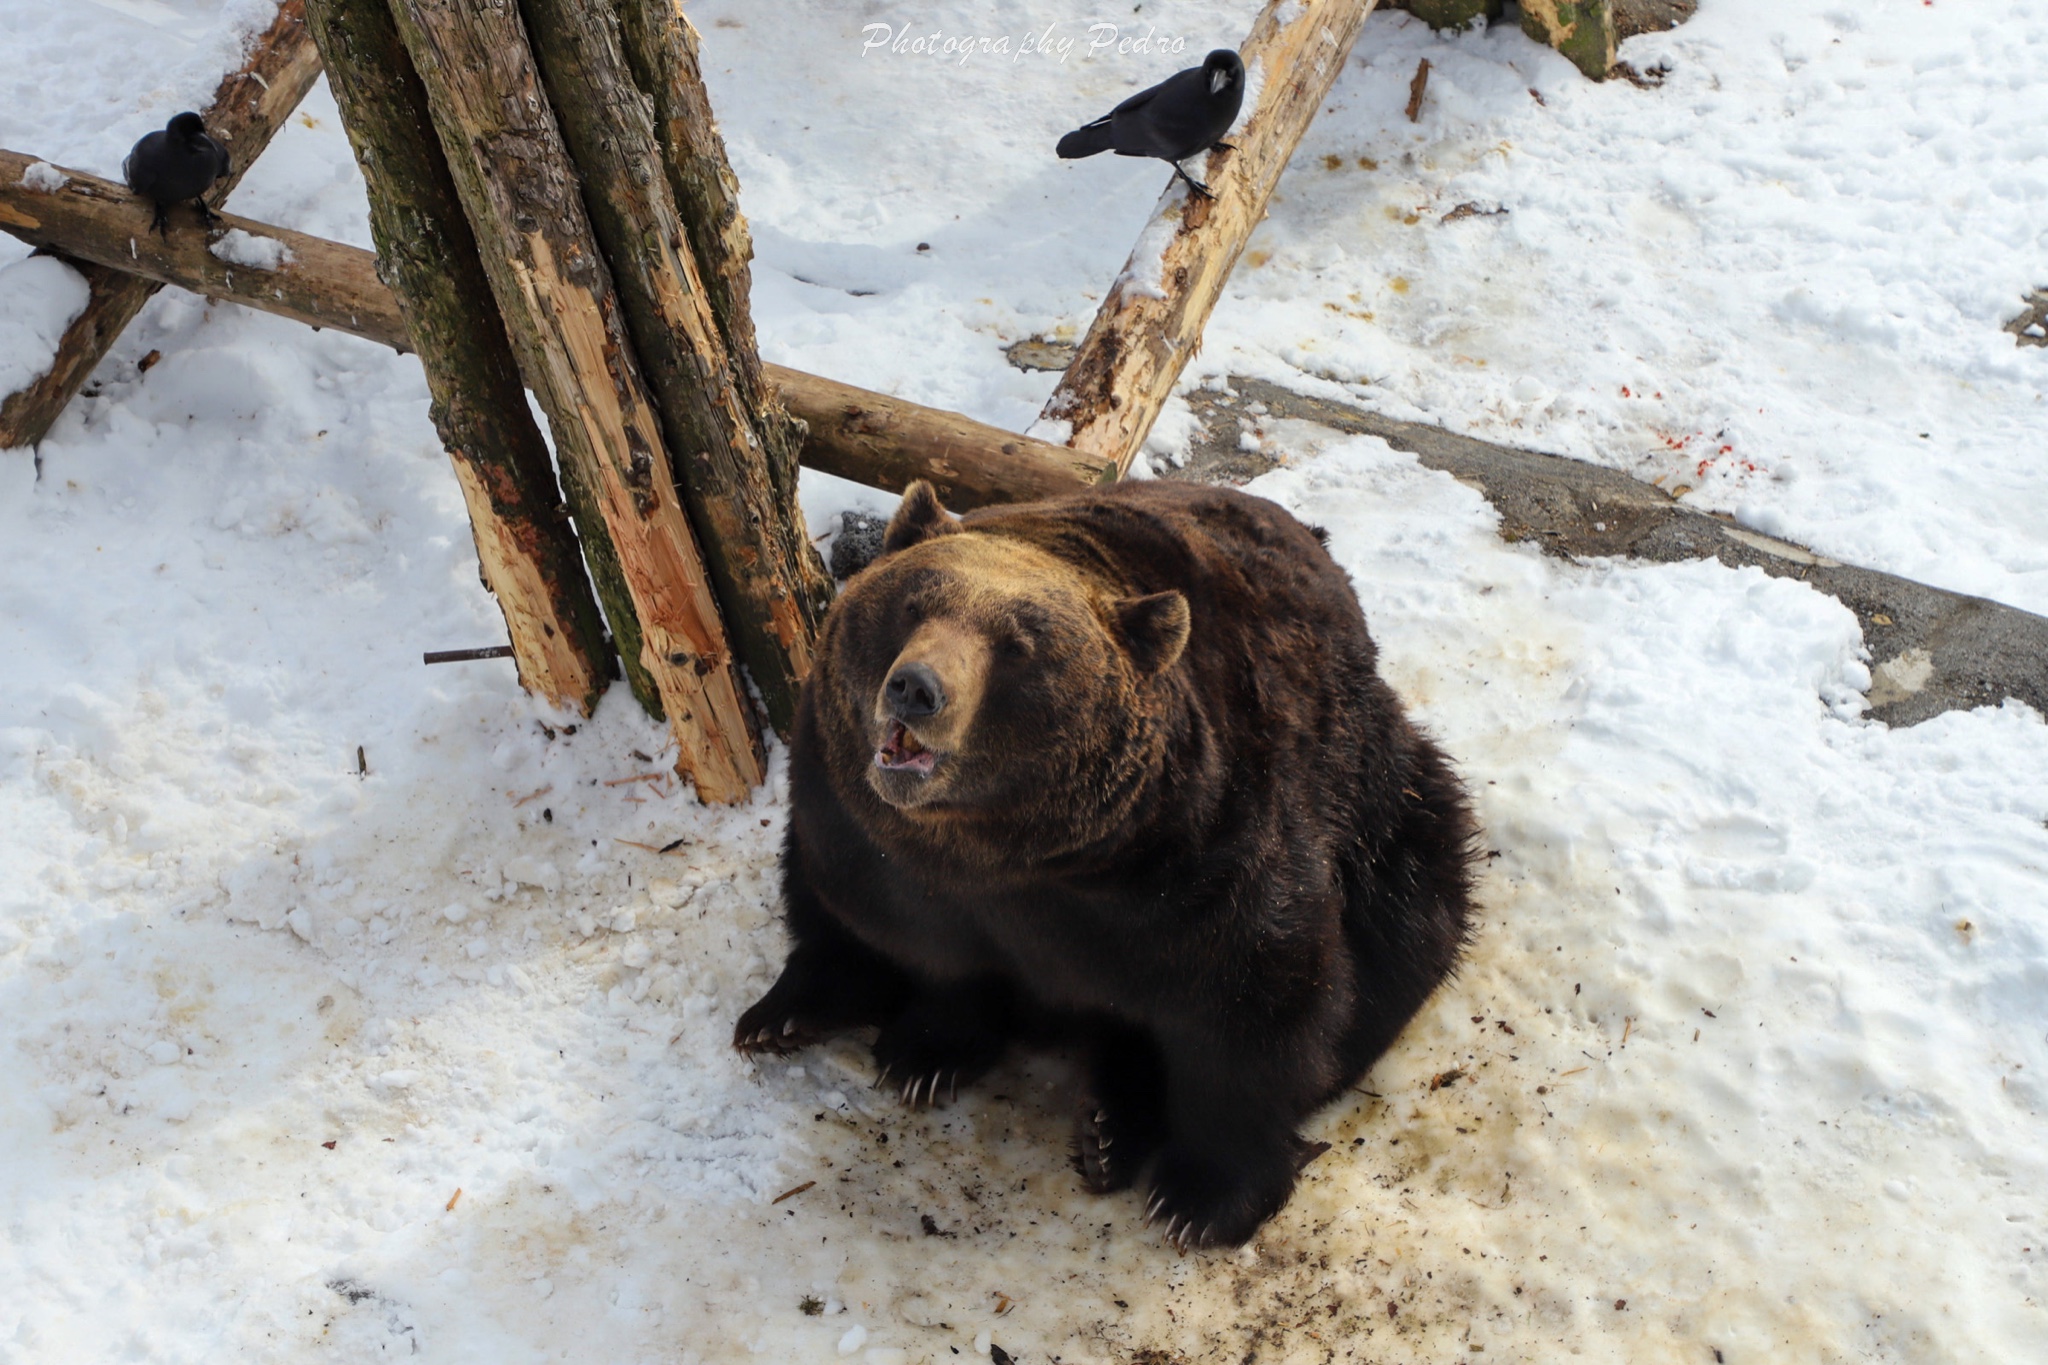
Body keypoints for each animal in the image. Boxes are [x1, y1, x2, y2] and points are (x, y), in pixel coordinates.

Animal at [737, 480, 1474, 1252]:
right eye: (912, 604)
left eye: (1018, 646)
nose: (915, 687)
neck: (1007, 852)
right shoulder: (875, 842)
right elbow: (921, 946)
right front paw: (925, 1055)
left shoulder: (1198, 862)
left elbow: (1259, 1007)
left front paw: (1200, 1195)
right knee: (815, 900)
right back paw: (785, 1013)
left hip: (1382, 797)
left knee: (1409, 922)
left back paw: (1112, 1127)